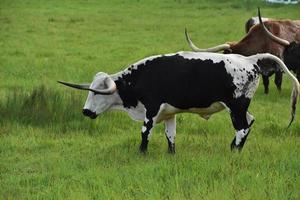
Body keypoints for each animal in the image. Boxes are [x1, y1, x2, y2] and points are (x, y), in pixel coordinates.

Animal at [57, 51, 298, 153]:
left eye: (97, 93)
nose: (86, 111)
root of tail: (249, 59)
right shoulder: (169, 114)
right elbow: (170, 136)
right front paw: (171, 154)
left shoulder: (151, 111)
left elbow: (145, 133)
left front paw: (141, 153)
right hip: (240, 107)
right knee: (250, 121)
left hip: (236, 107)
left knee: (242, 128)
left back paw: (234, 150)